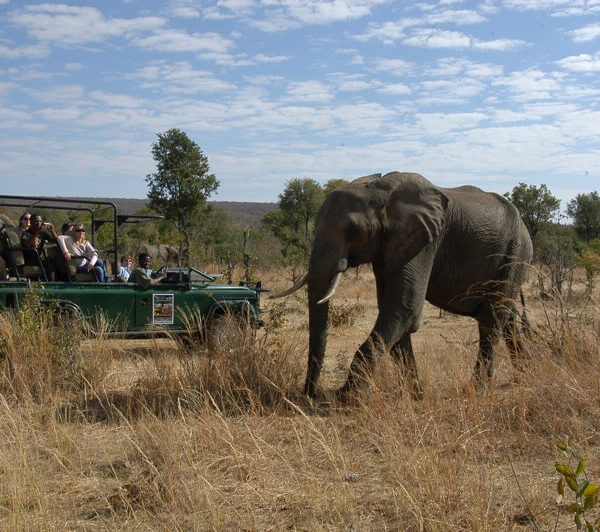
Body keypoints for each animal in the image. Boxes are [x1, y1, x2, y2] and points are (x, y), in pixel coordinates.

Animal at [272, 172, 533, 399]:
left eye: (352, 230)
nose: (311, 394)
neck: (381, 192)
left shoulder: (424, 242)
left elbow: (404, 310)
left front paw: (344, 399)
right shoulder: (387, 247)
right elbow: (396, 316)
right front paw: (416, 396)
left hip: (515, 252)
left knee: (491, 320)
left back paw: (477, 390)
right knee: (507, 318)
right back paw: (523, 377)